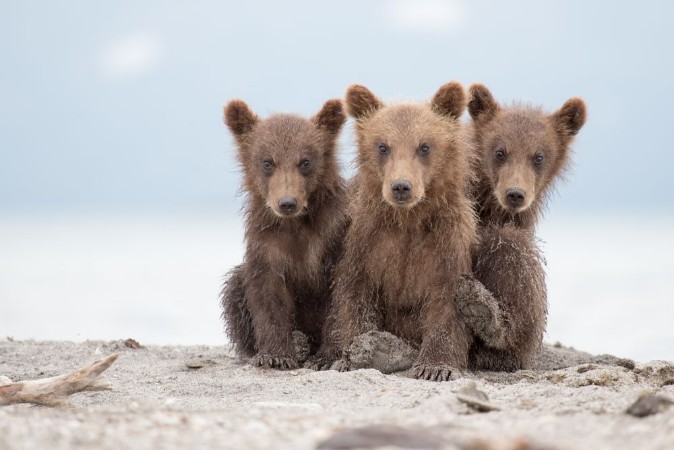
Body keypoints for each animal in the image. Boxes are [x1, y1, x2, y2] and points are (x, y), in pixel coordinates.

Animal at [219, 98, 348, 370]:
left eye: (305, 161)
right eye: (268, 162)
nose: (287, 202)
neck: (295, 224)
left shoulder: (333, 236)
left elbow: (339, 294)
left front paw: (326, 357)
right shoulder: (268, 242)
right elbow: (268, 295)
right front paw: (275, 355)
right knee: (235, 288)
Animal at [323, 82, 478, 381]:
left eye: (424, 146)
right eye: (383, 146)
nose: (401, 186)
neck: (408, 220)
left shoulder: (445, 243)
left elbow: (447, 302)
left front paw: (435, 366)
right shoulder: (367, 242)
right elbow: (355, 296)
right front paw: (350, 357)